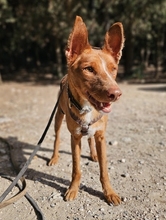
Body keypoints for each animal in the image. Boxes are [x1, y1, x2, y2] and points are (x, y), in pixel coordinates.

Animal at [48, 16, 124, 205]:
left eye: (113, 69)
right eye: (88, 69)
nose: (116, 94)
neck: (88, 107)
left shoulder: (101, 136)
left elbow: (104, 169)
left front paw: (109, 192)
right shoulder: (74, 137)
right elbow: (76, 168)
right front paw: (72, 189)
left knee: (90, 139)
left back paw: (93, 154)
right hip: (58, 117)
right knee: (57, 138)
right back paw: (54, 157)